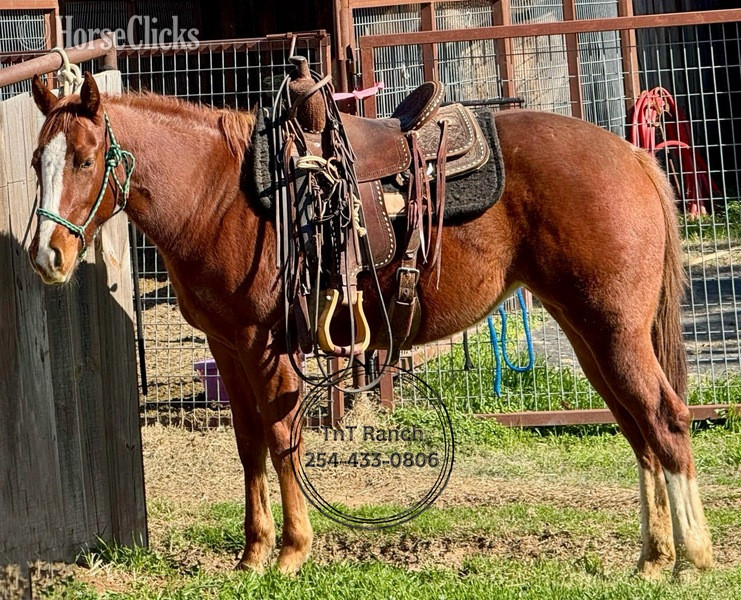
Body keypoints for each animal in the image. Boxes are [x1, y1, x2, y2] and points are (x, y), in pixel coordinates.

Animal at [28, 73, 712, 578]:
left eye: (84, 159)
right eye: (37, 160)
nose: (46, 256)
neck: (218, 194)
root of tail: (632, 156)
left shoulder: (265, 346)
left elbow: (282, 439)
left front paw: (291, 553)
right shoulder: (227, 348)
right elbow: (249, 445)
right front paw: (251, 554)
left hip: (614, 331)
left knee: (666, 421)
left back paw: (693, 560)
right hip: (590, 333)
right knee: (637, 430)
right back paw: (653, 560)